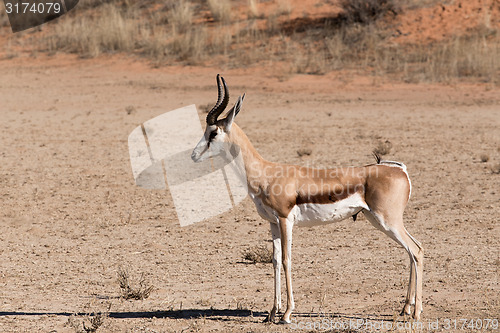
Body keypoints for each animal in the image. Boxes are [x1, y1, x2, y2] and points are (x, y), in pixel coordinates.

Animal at [189, 74, 424, 322]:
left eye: (213, 132)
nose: (194, 155)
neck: (266, 173)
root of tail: (399, 170)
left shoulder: (285, 220)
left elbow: (286, 260)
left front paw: (286, 313)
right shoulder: (273, 223)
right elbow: (275, 261)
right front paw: (271, 313)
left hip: (387, 221)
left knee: (416, 251)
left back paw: (417, 312)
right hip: (379, 221)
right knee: (412, 251)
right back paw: (405, 308)